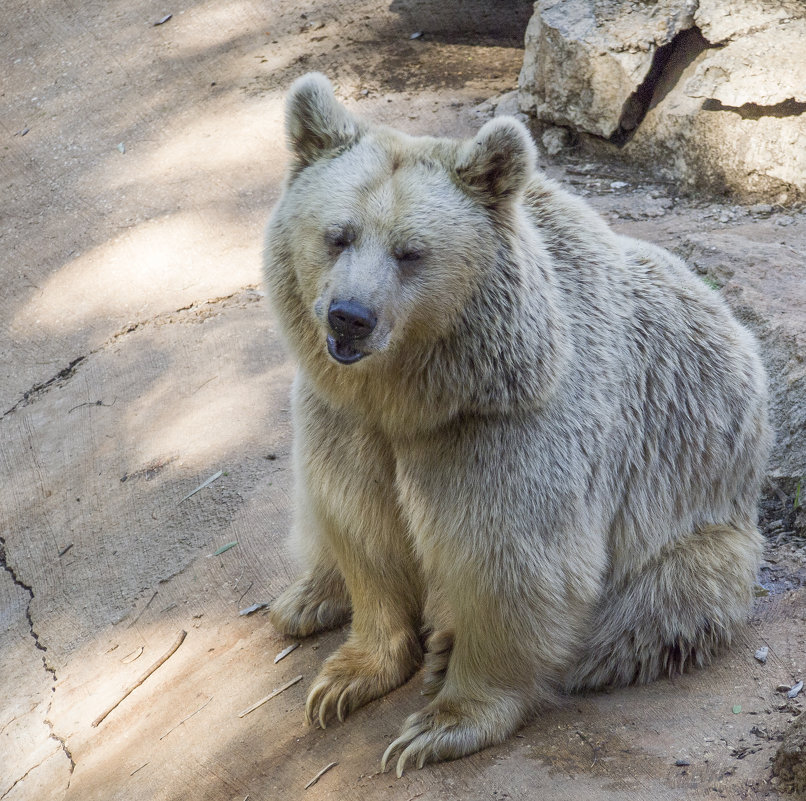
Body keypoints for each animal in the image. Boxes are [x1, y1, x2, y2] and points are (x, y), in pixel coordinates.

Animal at [262, 73, 772, 776]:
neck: (413, 398)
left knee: (654, 609)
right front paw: (345, 679)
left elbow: (510, 562)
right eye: (337, 235)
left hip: (695, 520)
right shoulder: (343, 421)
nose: (349, 317)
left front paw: (439, 722)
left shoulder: (505, 433)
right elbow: (362, 526)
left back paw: (454, 646)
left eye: (410, 253)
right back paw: (307, 598)